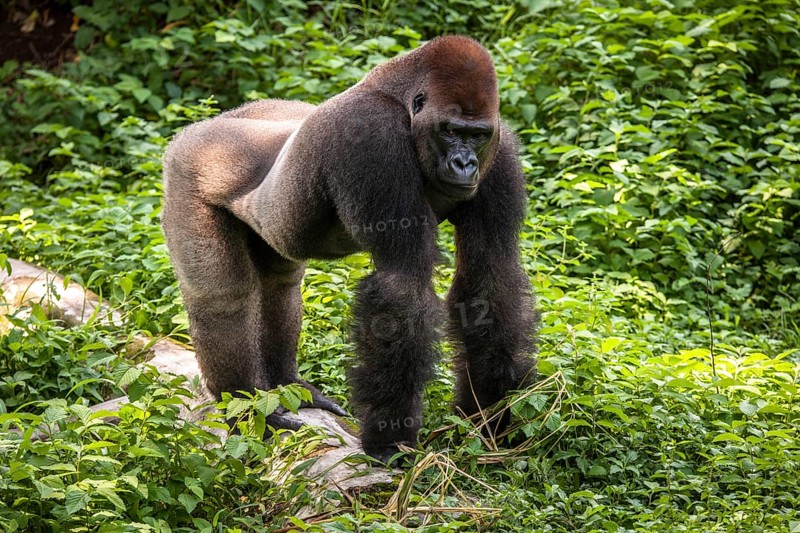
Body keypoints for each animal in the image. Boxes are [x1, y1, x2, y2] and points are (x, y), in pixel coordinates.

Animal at [161, 35, 538, 462]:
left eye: (476, 135)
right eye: (451, 130)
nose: (465, 163)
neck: (399, 98)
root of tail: (205, 125)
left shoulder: (501, 151)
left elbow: (489, 278)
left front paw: (492, 413)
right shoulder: (372, 135)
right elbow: (401, 286)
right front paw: (390, 440)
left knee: (279, 285)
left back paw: (286, 385)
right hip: (191, 163)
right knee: (222, 298)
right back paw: (246, 408)